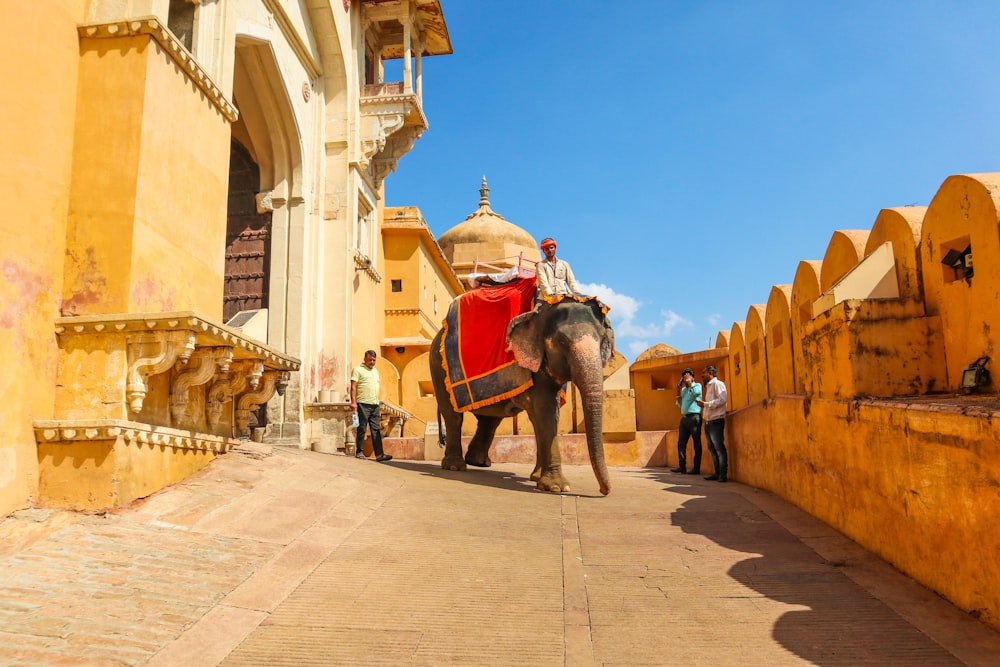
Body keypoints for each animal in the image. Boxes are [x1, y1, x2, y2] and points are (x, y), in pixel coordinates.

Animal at [428, 298, 612, 496]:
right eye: (562, 341)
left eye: (603, 340)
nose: (603, 491)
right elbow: (545, 413)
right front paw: (557, 487)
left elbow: (545, 417)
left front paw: (537, 478)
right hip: (438, 367)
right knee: (453, 416)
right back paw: (455, 466)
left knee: (490, 420)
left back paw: (479, 462)